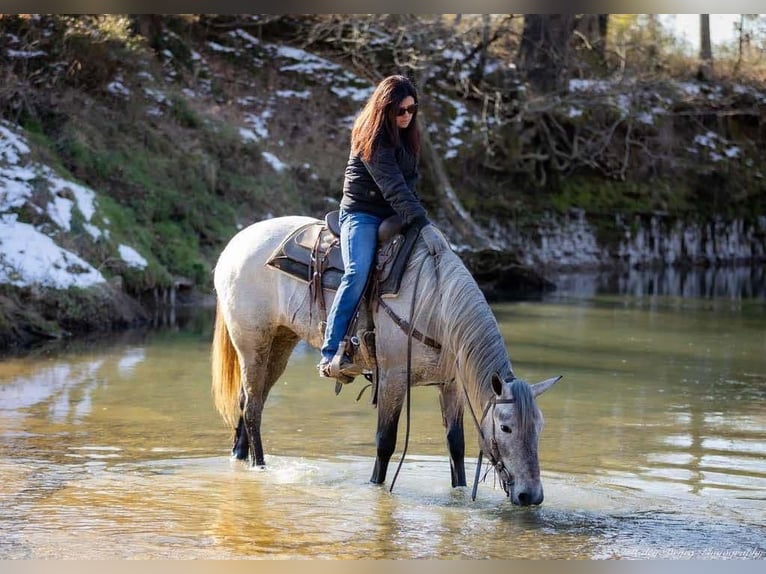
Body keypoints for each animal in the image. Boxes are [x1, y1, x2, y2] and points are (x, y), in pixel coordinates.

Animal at [213, 215, 560, 504]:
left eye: (540, 427)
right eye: (505, 428)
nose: (531, 496)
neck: (436, 303)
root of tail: (235, 243)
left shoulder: (449, 384)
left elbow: (456, 444)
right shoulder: (393, 378)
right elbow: (385, 442)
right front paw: (376, 488)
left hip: (280, 342)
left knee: (248, 401)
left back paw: (240, 458)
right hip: (252, 343)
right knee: (253, 407)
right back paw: (260, 467)